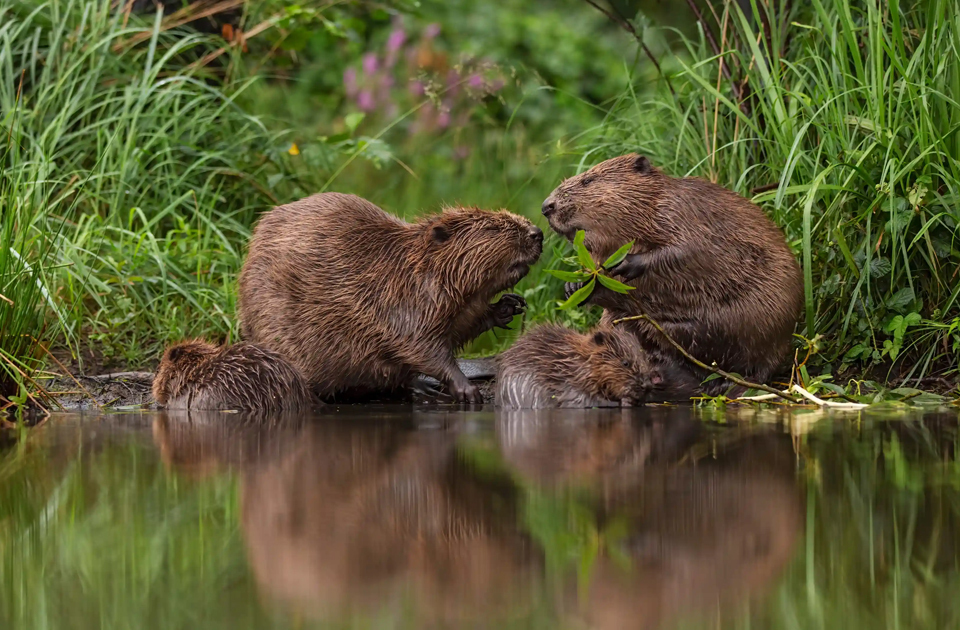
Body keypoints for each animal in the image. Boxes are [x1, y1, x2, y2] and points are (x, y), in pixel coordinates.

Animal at [237, 193, 544, 408]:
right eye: (494, 228)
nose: (537, 233)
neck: (412, 267)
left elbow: (463, 326)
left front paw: (509, 305)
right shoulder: (402, 301)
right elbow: (422, 347)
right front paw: (467, 390)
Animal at [496, 326, 660, 410]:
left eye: (646, 359)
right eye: (625, 363)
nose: (647, 385)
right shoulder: (568, 384)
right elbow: (581, 401)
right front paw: (626, 401)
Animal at [540, 155, 804, 398]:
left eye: (587, 180)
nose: (546, 206)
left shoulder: (681, 211)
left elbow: (688, 248)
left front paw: (627, 263)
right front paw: (574, 285)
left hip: (763, 322)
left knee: (759, 366)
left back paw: (728, 385)